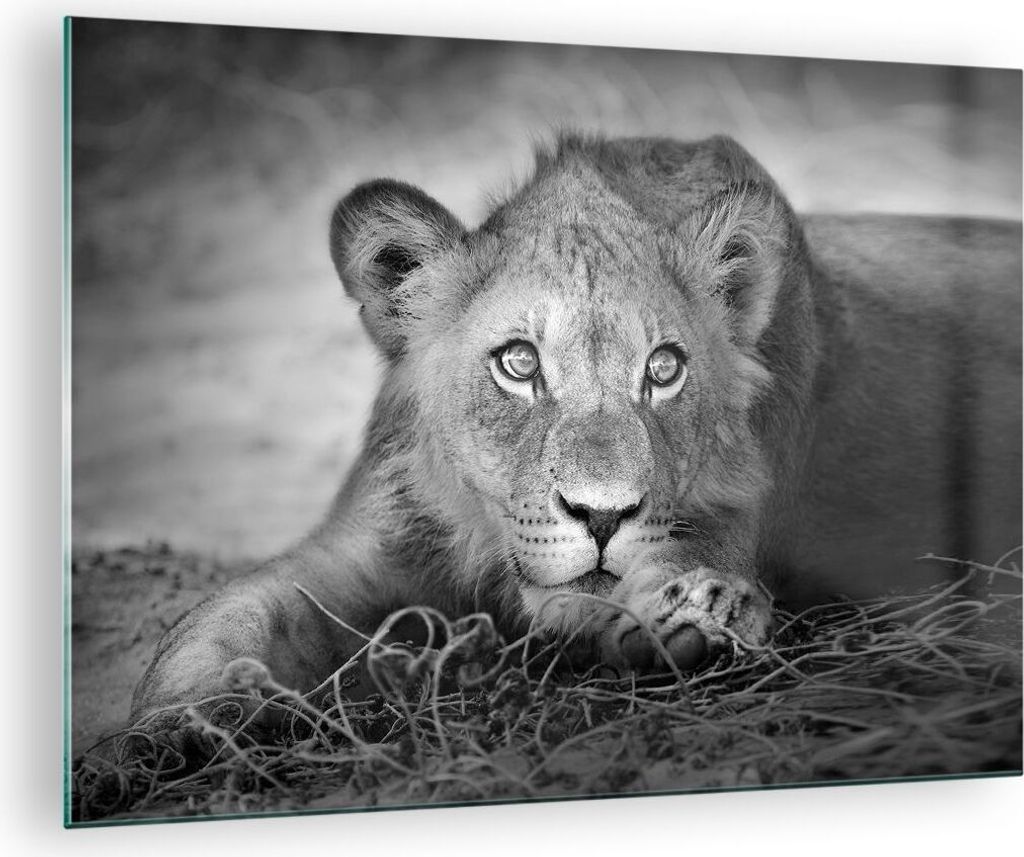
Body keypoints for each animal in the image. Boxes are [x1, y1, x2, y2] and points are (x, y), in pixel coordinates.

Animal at [130, 132, 1022, 727]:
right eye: (519, 363)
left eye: (663, 368)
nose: (602, 515)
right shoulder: (365, 543)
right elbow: (226, 614)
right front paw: (185, 718)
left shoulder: (722, 520)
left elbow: (680, 570)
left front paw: (700, 615)